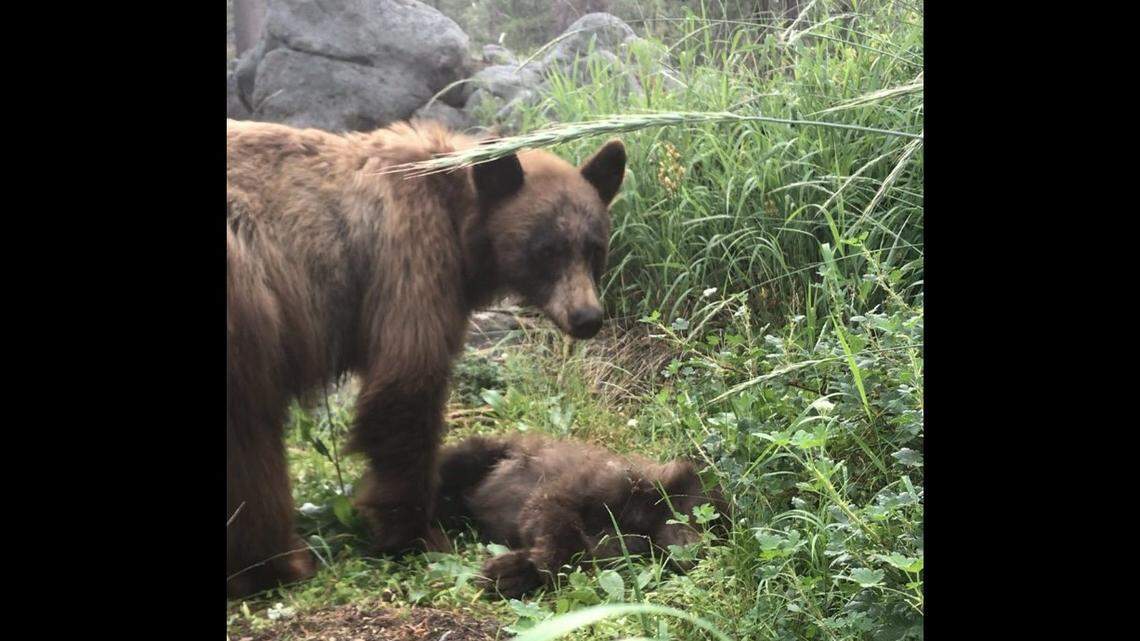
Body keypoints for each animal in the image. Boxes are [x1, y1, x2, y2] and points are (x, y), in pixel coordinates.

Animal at [226, 118, 626, 598]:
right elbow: (406, 388)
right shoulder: (410, 258)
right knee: (250, 439)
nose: (587, 318)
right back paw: (277, 563)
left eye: (594, 247)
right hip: (249, 306)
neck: (458, 213)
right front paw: (416, 534)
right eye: (546, 250)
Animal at [433, 434, 728, 597]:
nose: (700, 552)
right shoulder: (581, 487)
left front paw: (511, 573)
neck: (643, 518)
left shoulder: (617, 547)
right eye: (707, 518)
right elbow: (556, 521)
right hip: (481, 454)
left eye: (719, 537)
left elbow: (580, 557)